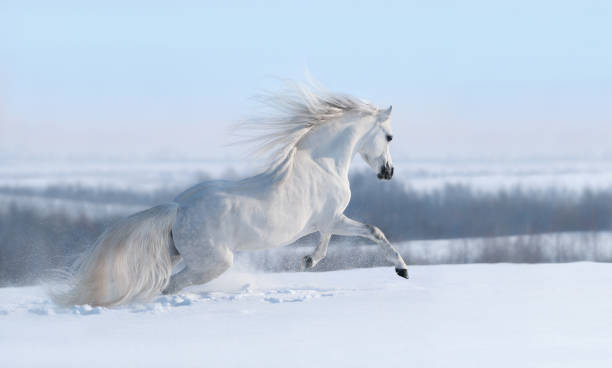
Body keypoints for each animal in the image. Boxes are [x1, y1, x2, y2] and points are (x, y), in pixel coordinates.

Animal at [52, 83, 406, 308]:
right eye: (389, 136)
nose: (388, 172)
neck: (323, 163)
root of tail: (178, 208)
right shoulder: (333, 217)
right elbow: (372, 231)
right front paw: (401, 268)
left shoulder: (325, 222)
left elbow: (334, 240)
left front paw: (308, 261)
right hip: (214, 263)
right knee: (170, 286)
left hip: (179, 254)